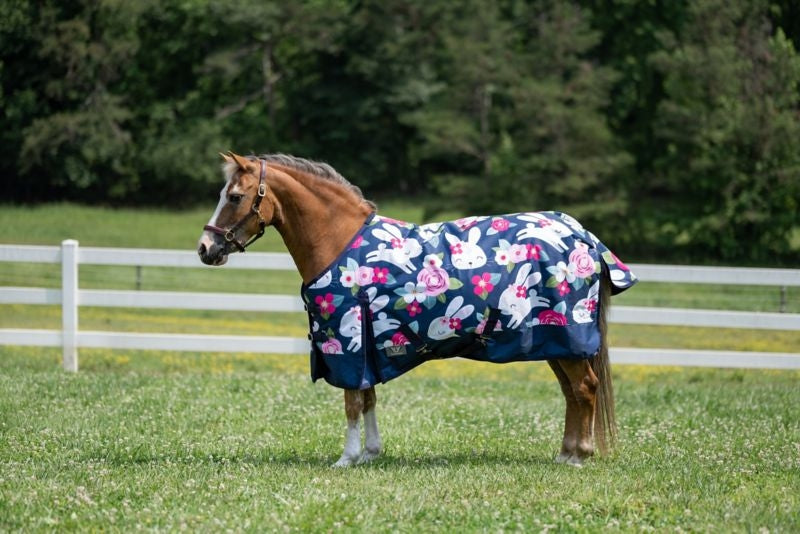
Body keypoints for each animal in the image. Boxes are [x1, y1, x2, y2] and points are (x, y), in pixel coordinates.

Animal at [197, 152, 637, 468]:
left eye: (234, 197)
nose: (205, 249)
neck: (338, 240)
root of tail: (582, 235)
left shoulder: (349, 341)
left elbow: (352, 401)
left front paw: (346, 458)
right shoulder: (369, 343)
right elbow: (368, 398)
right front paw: (370, 454)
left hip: (568, 339)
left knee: (585, 388)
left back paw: (579, 457)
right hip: (556, 344)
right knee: (572, 393)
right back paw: (565, 453)